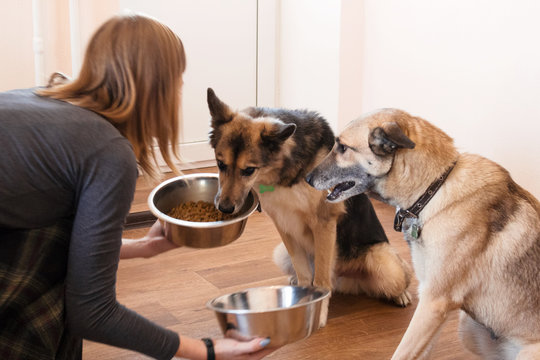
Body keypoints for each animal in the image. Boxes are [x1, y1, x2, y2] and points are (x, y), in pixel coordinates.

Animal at [206, 89, 410, 326]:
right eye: (220, 165)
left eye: (248, 170)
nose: (224, 208)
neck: (287, 170)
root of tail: (346, 281)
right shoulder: (284, 223)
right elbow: (304, 273)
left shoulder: (323, 224)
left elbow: (321, 280)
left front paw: (319, 314)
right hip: (281, 253)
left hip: (384, 261)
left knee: (402, 275)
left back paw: (401, 294)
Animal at [308, 108, 540, 358]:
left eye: (342, 147)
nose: (307, 179)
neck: (435, 188)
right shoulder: (433, 308)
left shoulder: (433, 303)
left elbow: (403, 351)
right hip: (469, 328)